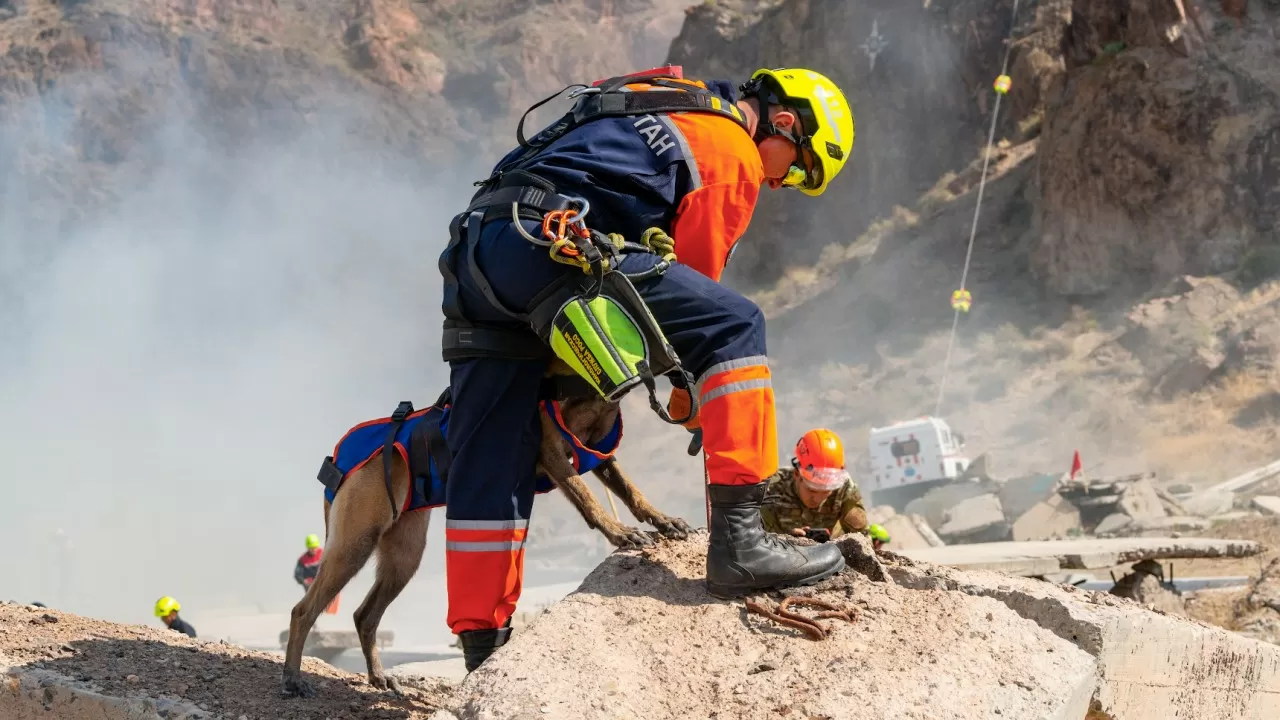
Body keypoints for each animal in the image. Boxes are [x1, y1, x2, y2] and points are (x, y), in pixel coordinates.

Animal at [281, 358, 691, 696]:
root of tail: (338, 462)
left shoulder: (599, 455)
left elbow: (632, 490)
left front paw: (662, 519)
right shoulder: (552, 451)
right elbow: (587, 495)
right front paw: (618, 532)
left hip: (404, 558)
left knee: (364, 615)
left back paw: (379, 677)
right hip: (355, 544)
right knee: (303, 610)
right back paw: (293, 679)